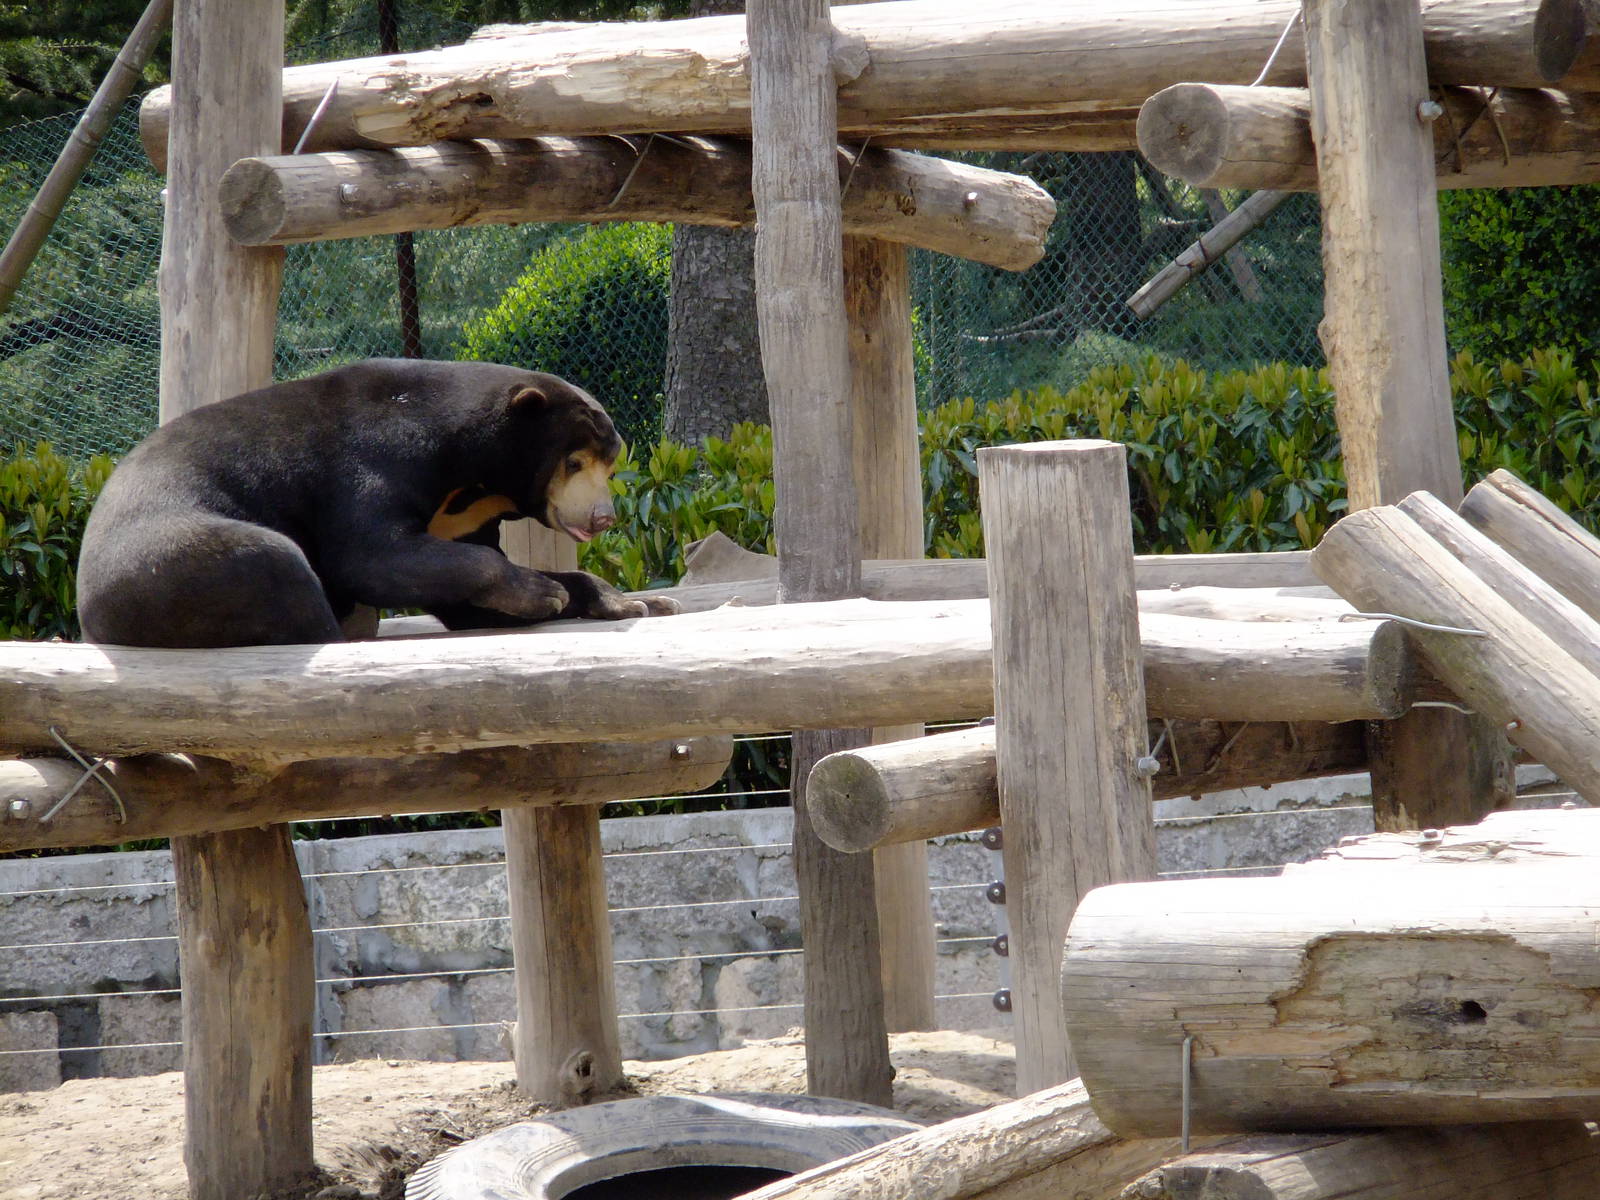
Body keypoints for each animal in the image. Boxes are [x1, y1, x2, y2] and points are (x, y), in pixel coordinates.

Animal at [75, 358, 678, 649]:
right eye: (573, 462)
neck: (475, 476)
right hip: (171, 563)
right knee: (275, 563)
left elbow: (464, 594)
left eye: (610, 466)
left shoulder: (466, 515)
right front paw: (542, 592)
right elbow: (371, 555)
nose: (602, 517)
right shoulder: (376, 459)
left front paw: (633, 601)